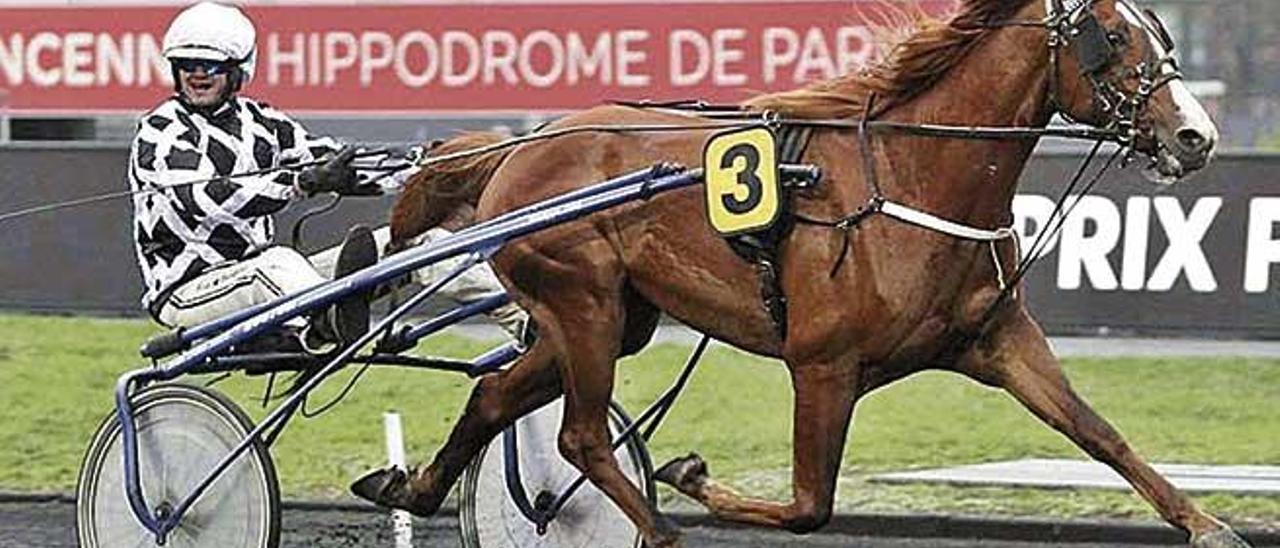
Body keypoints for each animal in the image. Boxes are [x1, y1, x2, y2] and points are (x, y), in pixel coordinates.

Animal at [353, 0, 1239, 545]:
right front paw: (689, 475)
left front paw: (1206, 524)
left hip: (609, 318)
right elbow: (811, 507)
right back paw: (661, 528)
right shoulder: (822, 365)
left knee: (496, 396)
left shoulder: (998, 341)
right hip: (584, 304)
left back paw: (411, 490)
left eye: (1163, 35)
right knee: (580, 436)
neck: (910, 173)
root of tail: (519, 146)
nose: (1195, 136)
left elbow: (1099, 433)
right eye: (1112, 38)